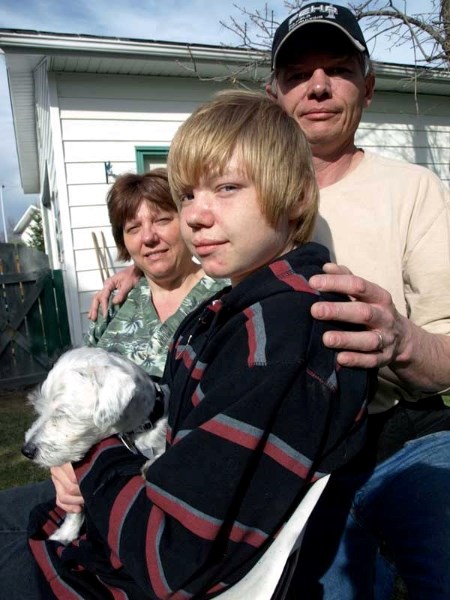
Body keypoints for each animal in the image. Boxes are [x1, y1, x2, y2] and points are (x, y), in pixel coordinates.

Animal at [22, 350, 169, 548]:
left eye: (61, 414)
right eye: (40, 409)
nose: (26, 451)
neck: (135, 431)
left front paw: (151, 464)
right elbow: (75, 510)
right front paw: (65, 533)